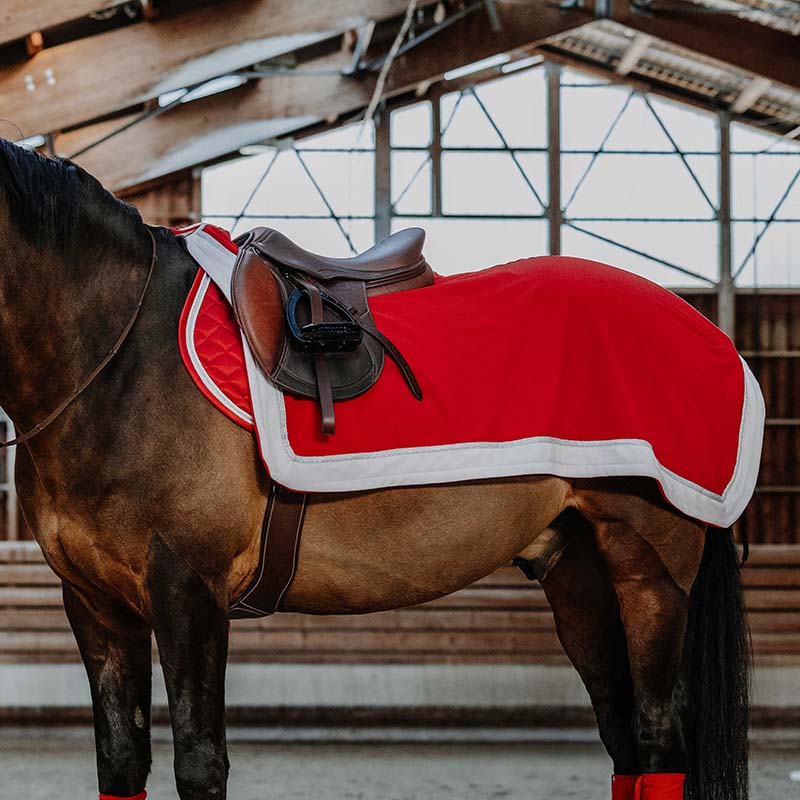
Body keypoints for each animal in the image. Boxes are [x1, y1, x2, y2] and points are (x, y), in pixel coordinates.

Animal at [0, 138, 749, 800]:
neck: (119, 358)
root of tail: (705, 329)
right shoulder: (96, 605)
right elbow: (121, 762)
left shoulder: (189, 592)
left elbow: (200, 765)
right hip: (579, 576)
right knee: (624, 740)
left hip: (651, 575)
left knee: (656, 739)